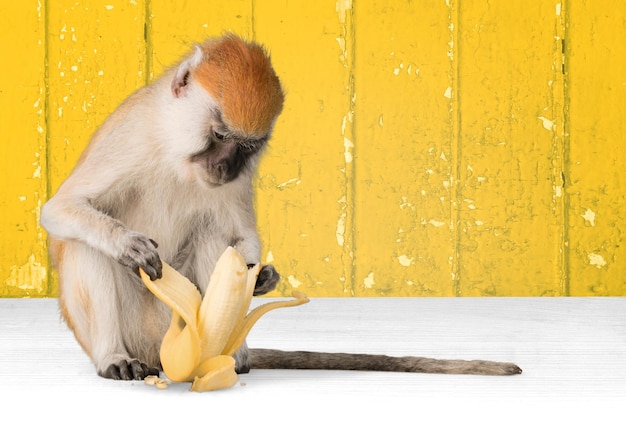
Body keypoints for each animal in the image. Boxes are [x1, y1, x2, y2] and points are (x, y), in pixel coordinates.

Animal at [37, 34, 516, 382]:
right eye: (220, 135)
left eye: (247, 147)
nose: (224, 167)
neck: (174, 149)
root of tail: (159, 350)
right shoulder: (131, 138)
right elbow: (61, 210)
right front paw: (128, 245)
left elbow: (239, 237)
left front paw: (261, 275)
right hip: (140, 327)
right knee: (83, 246)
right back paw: (114, 356)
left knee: (214, 238)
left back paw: (234, 354)